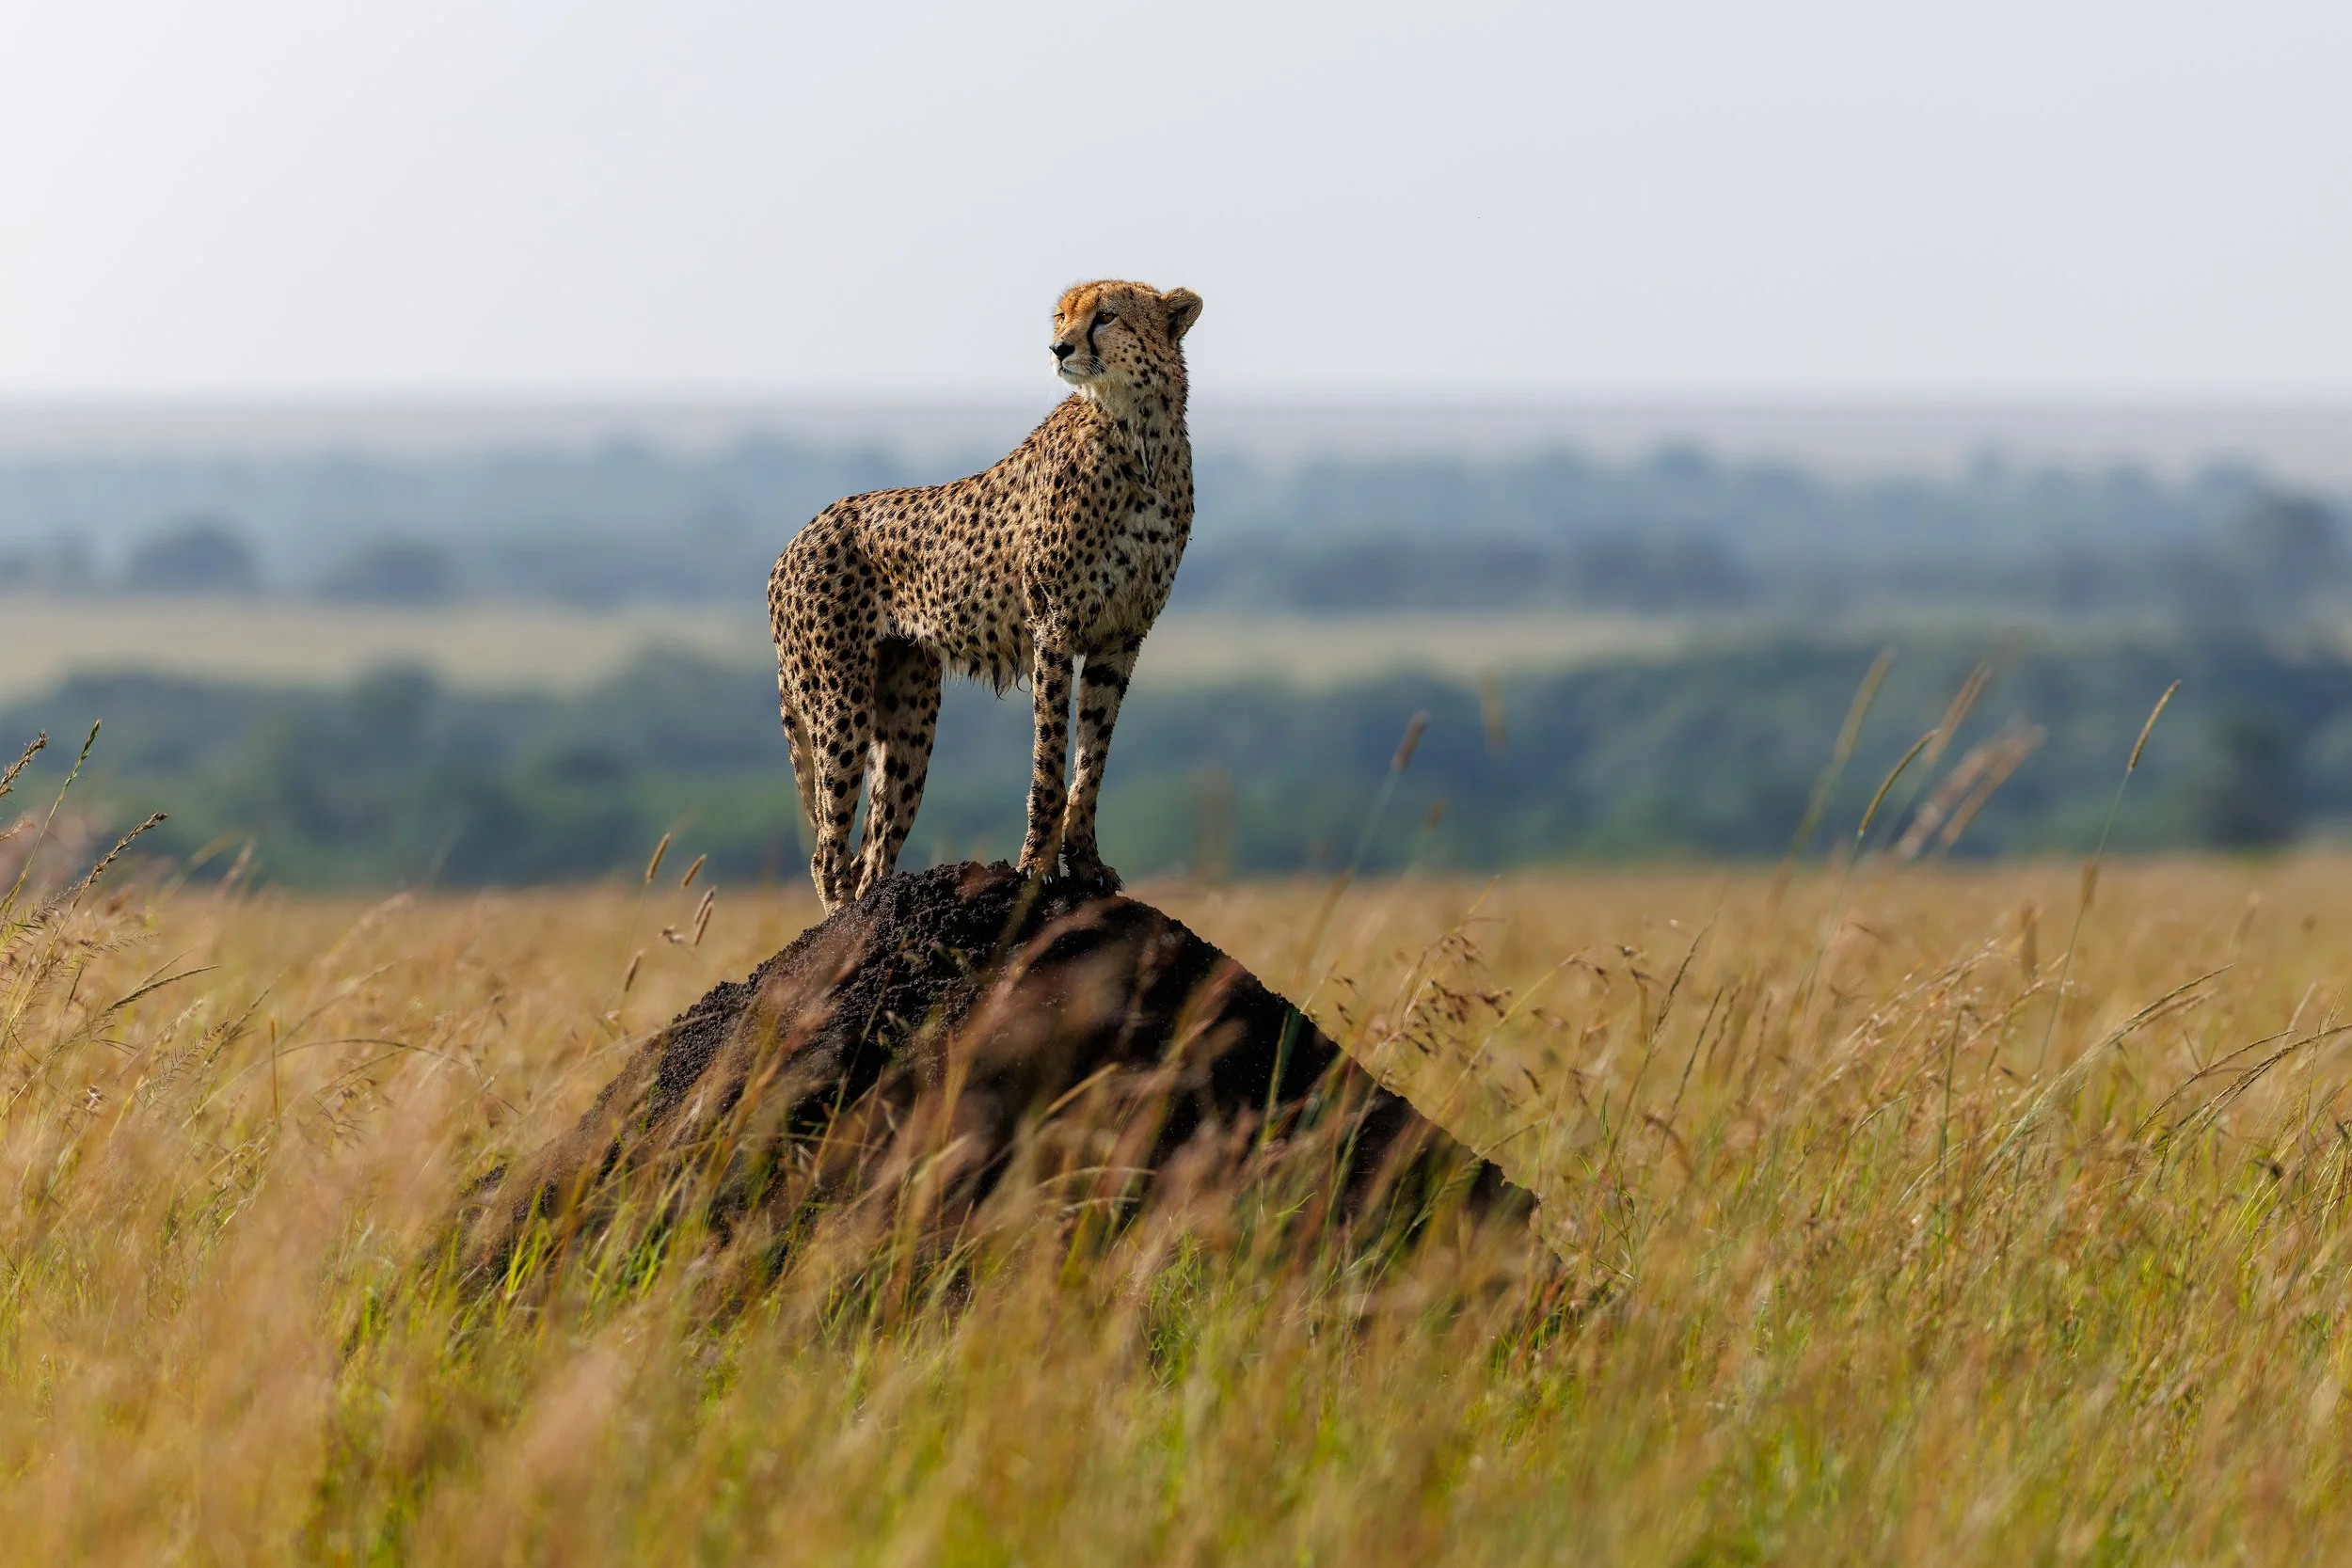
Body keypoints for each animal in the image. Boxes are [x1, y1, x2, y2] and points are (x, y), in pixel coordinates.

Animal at [767, 279, 1203, 912]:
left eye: (1106, 316)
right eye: (1061, 317)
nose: (1058, 348)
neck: (1136, 427)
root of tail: (795, 541)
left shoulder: (1121, 636)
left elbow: (1091, 761)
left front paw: (1087, 864)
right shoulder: (1054, 626)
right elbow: (1050, 757)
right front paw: (1034, 869)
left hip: (909, 712)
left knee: (872, 850)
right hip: (839, 701)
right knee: (828, 852)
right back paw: (842, 929)